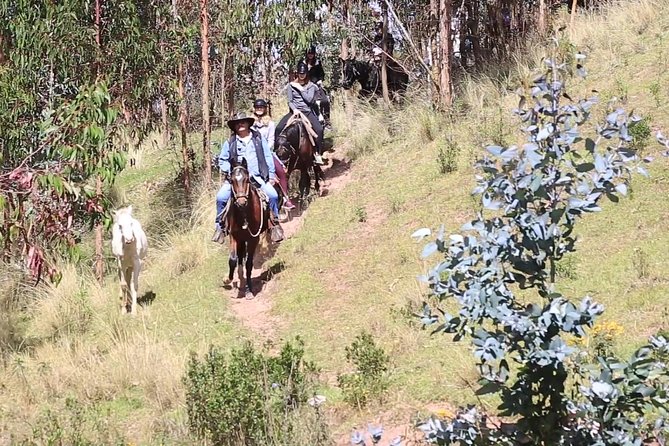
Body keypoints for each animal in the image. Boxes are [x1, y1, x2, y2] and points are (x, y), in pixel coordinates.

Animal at [222, 162, 268, 298]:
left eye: (247, 180)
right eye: (231, 181)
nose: (241, 202)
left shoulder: (253, 239)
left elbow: (249, 263)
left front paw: (249, 290)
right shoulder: (234, 236)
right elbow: (233, 259)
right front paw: (228, 279)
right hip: (241, 239)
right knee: (240, 257)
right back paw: (240, 282)